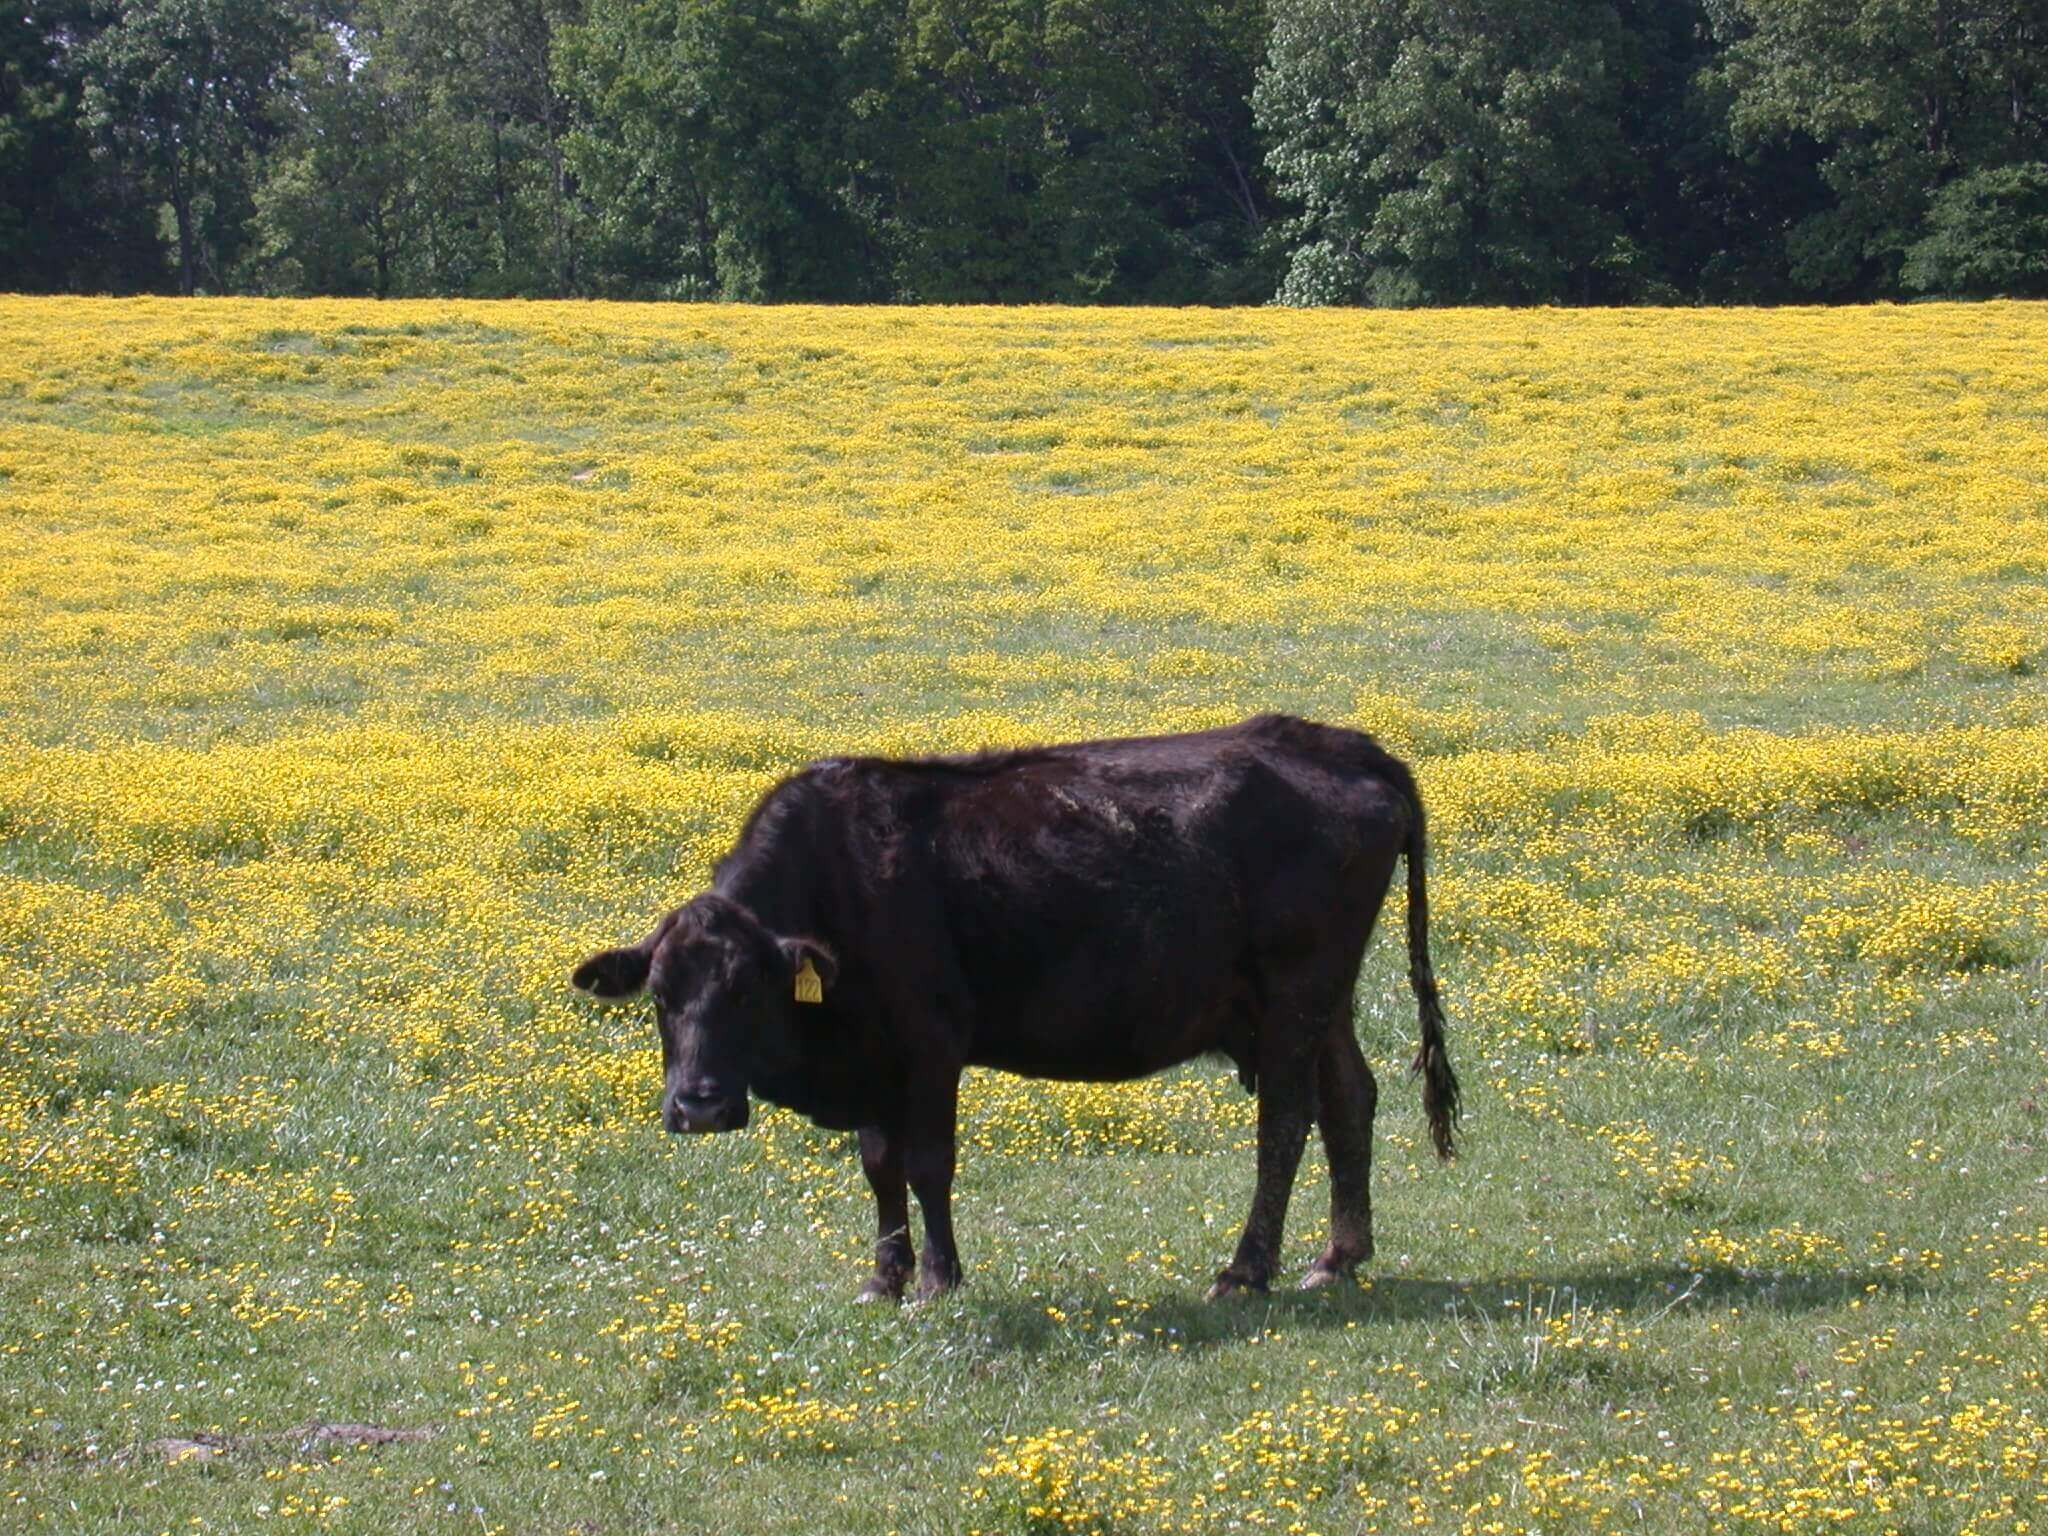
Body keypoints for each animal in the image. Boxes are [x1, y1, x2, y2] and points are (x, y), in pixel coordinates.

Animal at [577, 716, 1458, 1302]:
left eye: (746, 989)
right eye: (661, 997)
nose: (698, 1105)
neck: (841, 880)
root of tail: (1340, 743)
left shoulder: (931, 1044)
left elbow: (928, 1164)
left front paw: (938, 1280)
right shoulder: (873, 1062)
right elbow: (880, 1168)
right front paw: (884, 1279)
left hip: (1295, 993)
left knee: (1285, 1120)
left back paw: (1245, 1271)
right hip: (1322, 1001)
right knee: (1349, 1099)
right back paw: (1337, 1255)